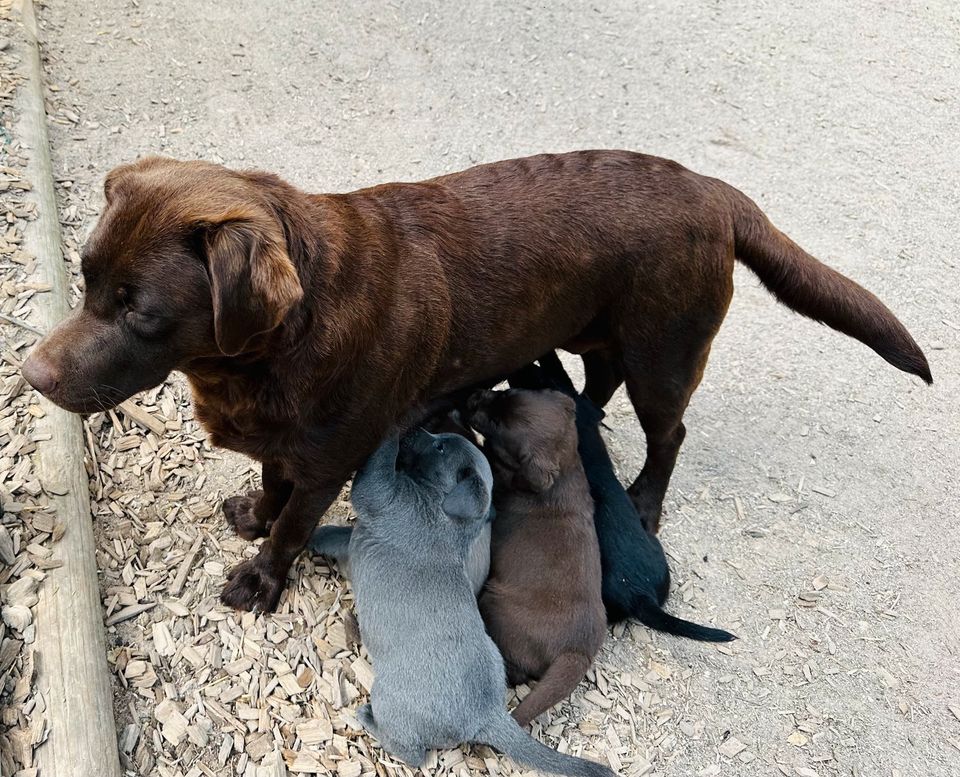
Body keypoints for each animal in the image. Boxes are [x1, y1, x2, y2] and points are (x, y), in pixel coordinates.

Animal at [316, 430, 616, 776]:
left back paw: (368, 719)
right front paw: (316, 538)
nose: (415, 431)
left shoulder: (382, 496)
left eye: (440, 447)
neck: (447, 513)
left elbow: (377, 466)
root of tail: (488, 715)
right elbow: (339, 536)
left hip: (390, 702)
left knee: (412, 753)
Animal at [466, 388, 608, 728]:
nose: (474, 395)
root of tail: (578, 650)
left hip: (495, 603)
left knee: (516, 672)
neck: (566, 469)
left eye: (498, 424)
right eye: (507, 391)